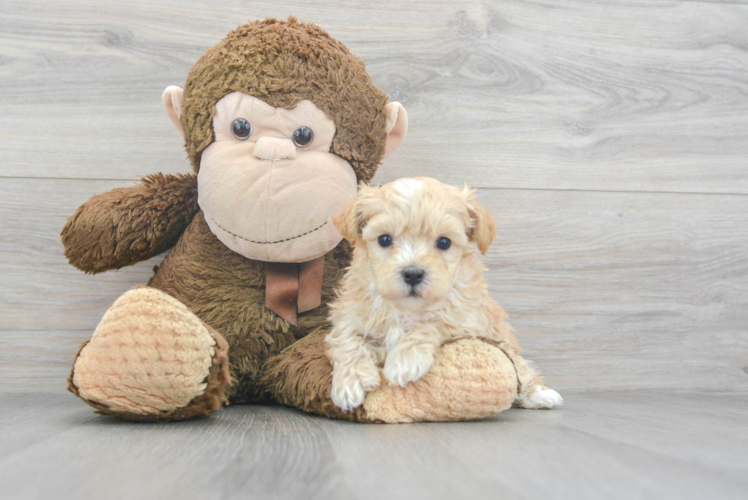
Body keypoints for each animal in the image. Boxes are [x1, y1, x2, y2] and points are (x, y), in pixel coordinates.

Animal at [324, 178, 564, 412]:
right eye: (384, 239)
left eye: (444, 242)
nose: (413, 273)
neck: (406, 309)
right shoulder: (349, 316)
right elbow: (347, 341)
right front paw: (350, 382)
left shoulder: (468, 321)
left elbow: (432, 323)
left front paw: (405, 360)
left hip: (505, 342)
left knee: (521, 368)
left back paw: (539, 394)